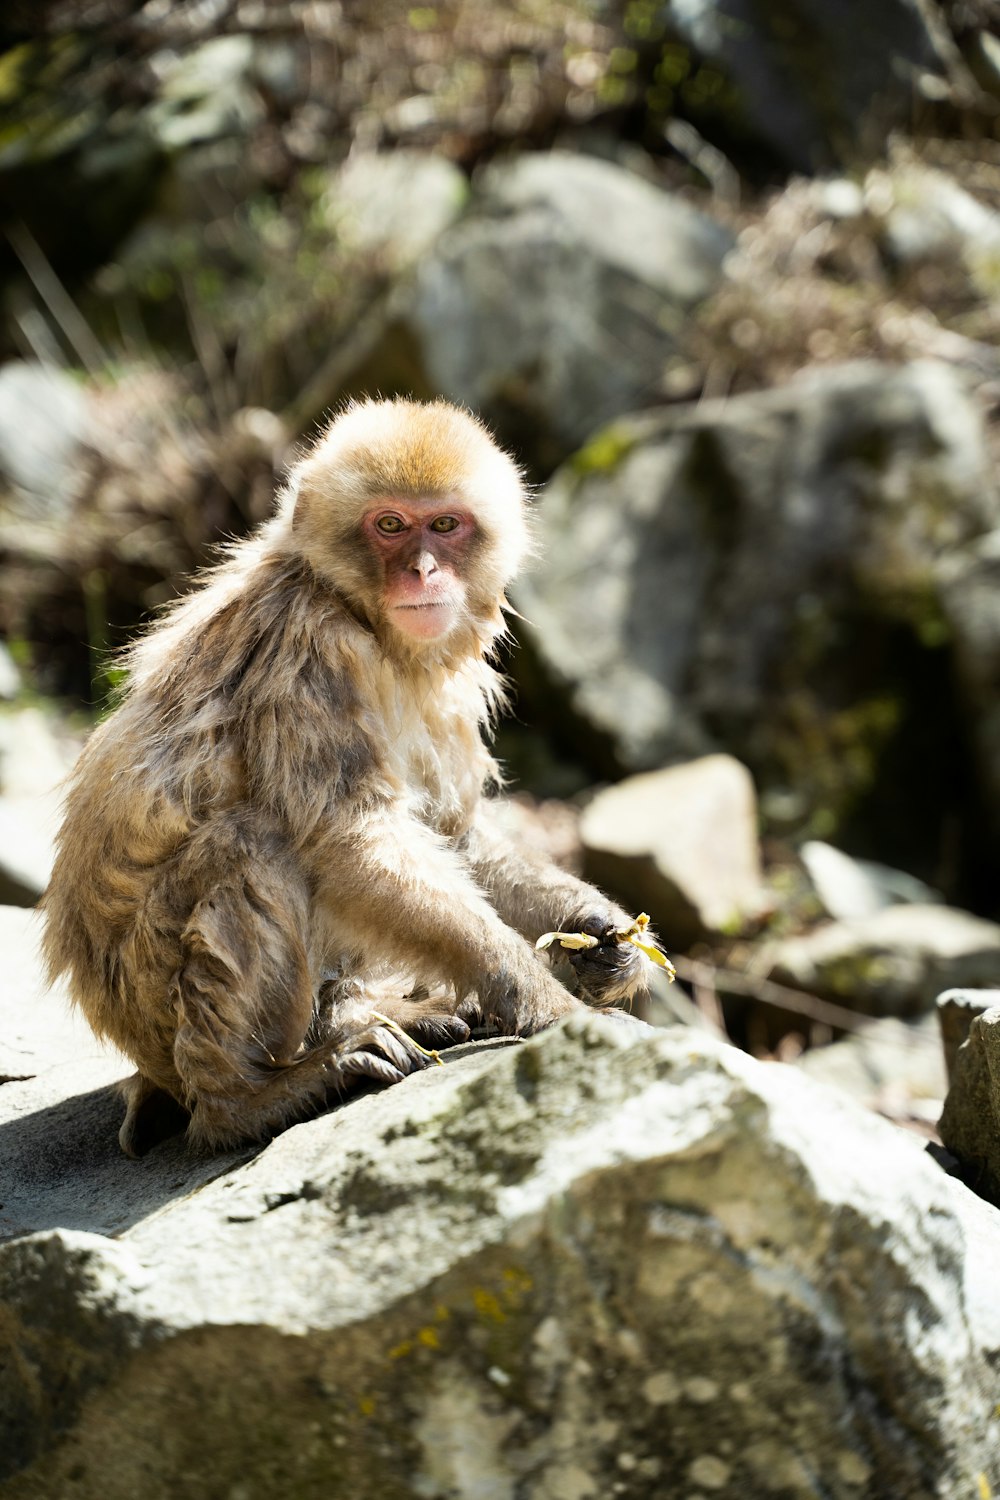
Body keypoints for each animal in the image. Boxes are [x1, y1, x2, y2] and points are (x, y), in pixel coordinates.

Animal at [41, 393, 650, 1152]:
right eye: (389, 526)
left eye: (444, 525)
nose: (423, 571)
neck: (363, 618)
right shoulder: (307, 651)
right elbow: (351, 842)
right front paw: (548, 1001)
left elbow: (454, 832)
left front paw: (599, 932)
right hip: (153, 1008)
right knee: (252, 844)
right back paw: (250, 1098)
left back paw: (363, 1017)